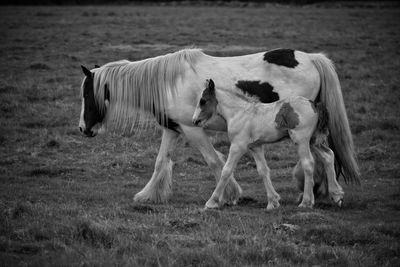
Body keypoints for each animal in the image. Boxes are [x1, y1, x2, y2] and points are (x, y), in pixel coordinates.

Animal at [192, 79, 342, 211]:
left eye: (203, 101)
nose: (195, 121)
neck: (239, 113)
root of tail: (313, 104)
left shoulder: (238, 146)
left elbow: (226, 170)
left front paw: (212, 202)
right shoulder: (256, 147)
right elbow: (263, 171)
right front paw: (273, 202)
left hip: (301, 140)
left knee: (308, 163)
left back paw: (306, 202)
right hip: (313, 141)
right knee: (328, 155)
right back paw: (336, 195)